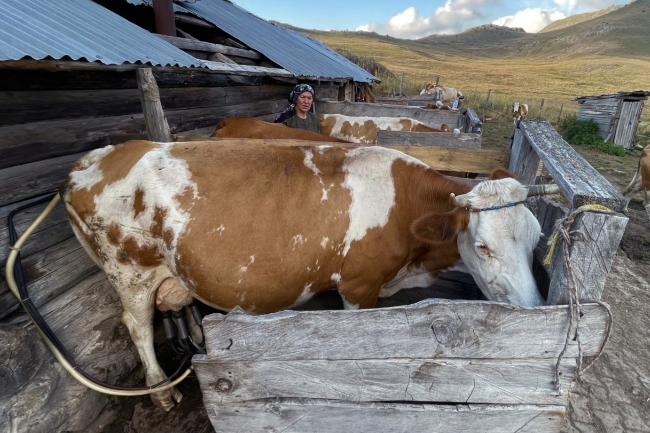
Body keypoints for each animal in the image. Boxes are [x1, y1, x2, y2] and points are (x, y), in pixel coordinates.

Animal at [62, 138, 548, 408]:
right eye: (483, 246)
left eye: (536, 238)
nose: (536, 309)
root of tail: (99, 156)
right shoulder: (359, 285)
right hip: (129, 271)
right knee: (138, 325)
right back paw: (161, 389)